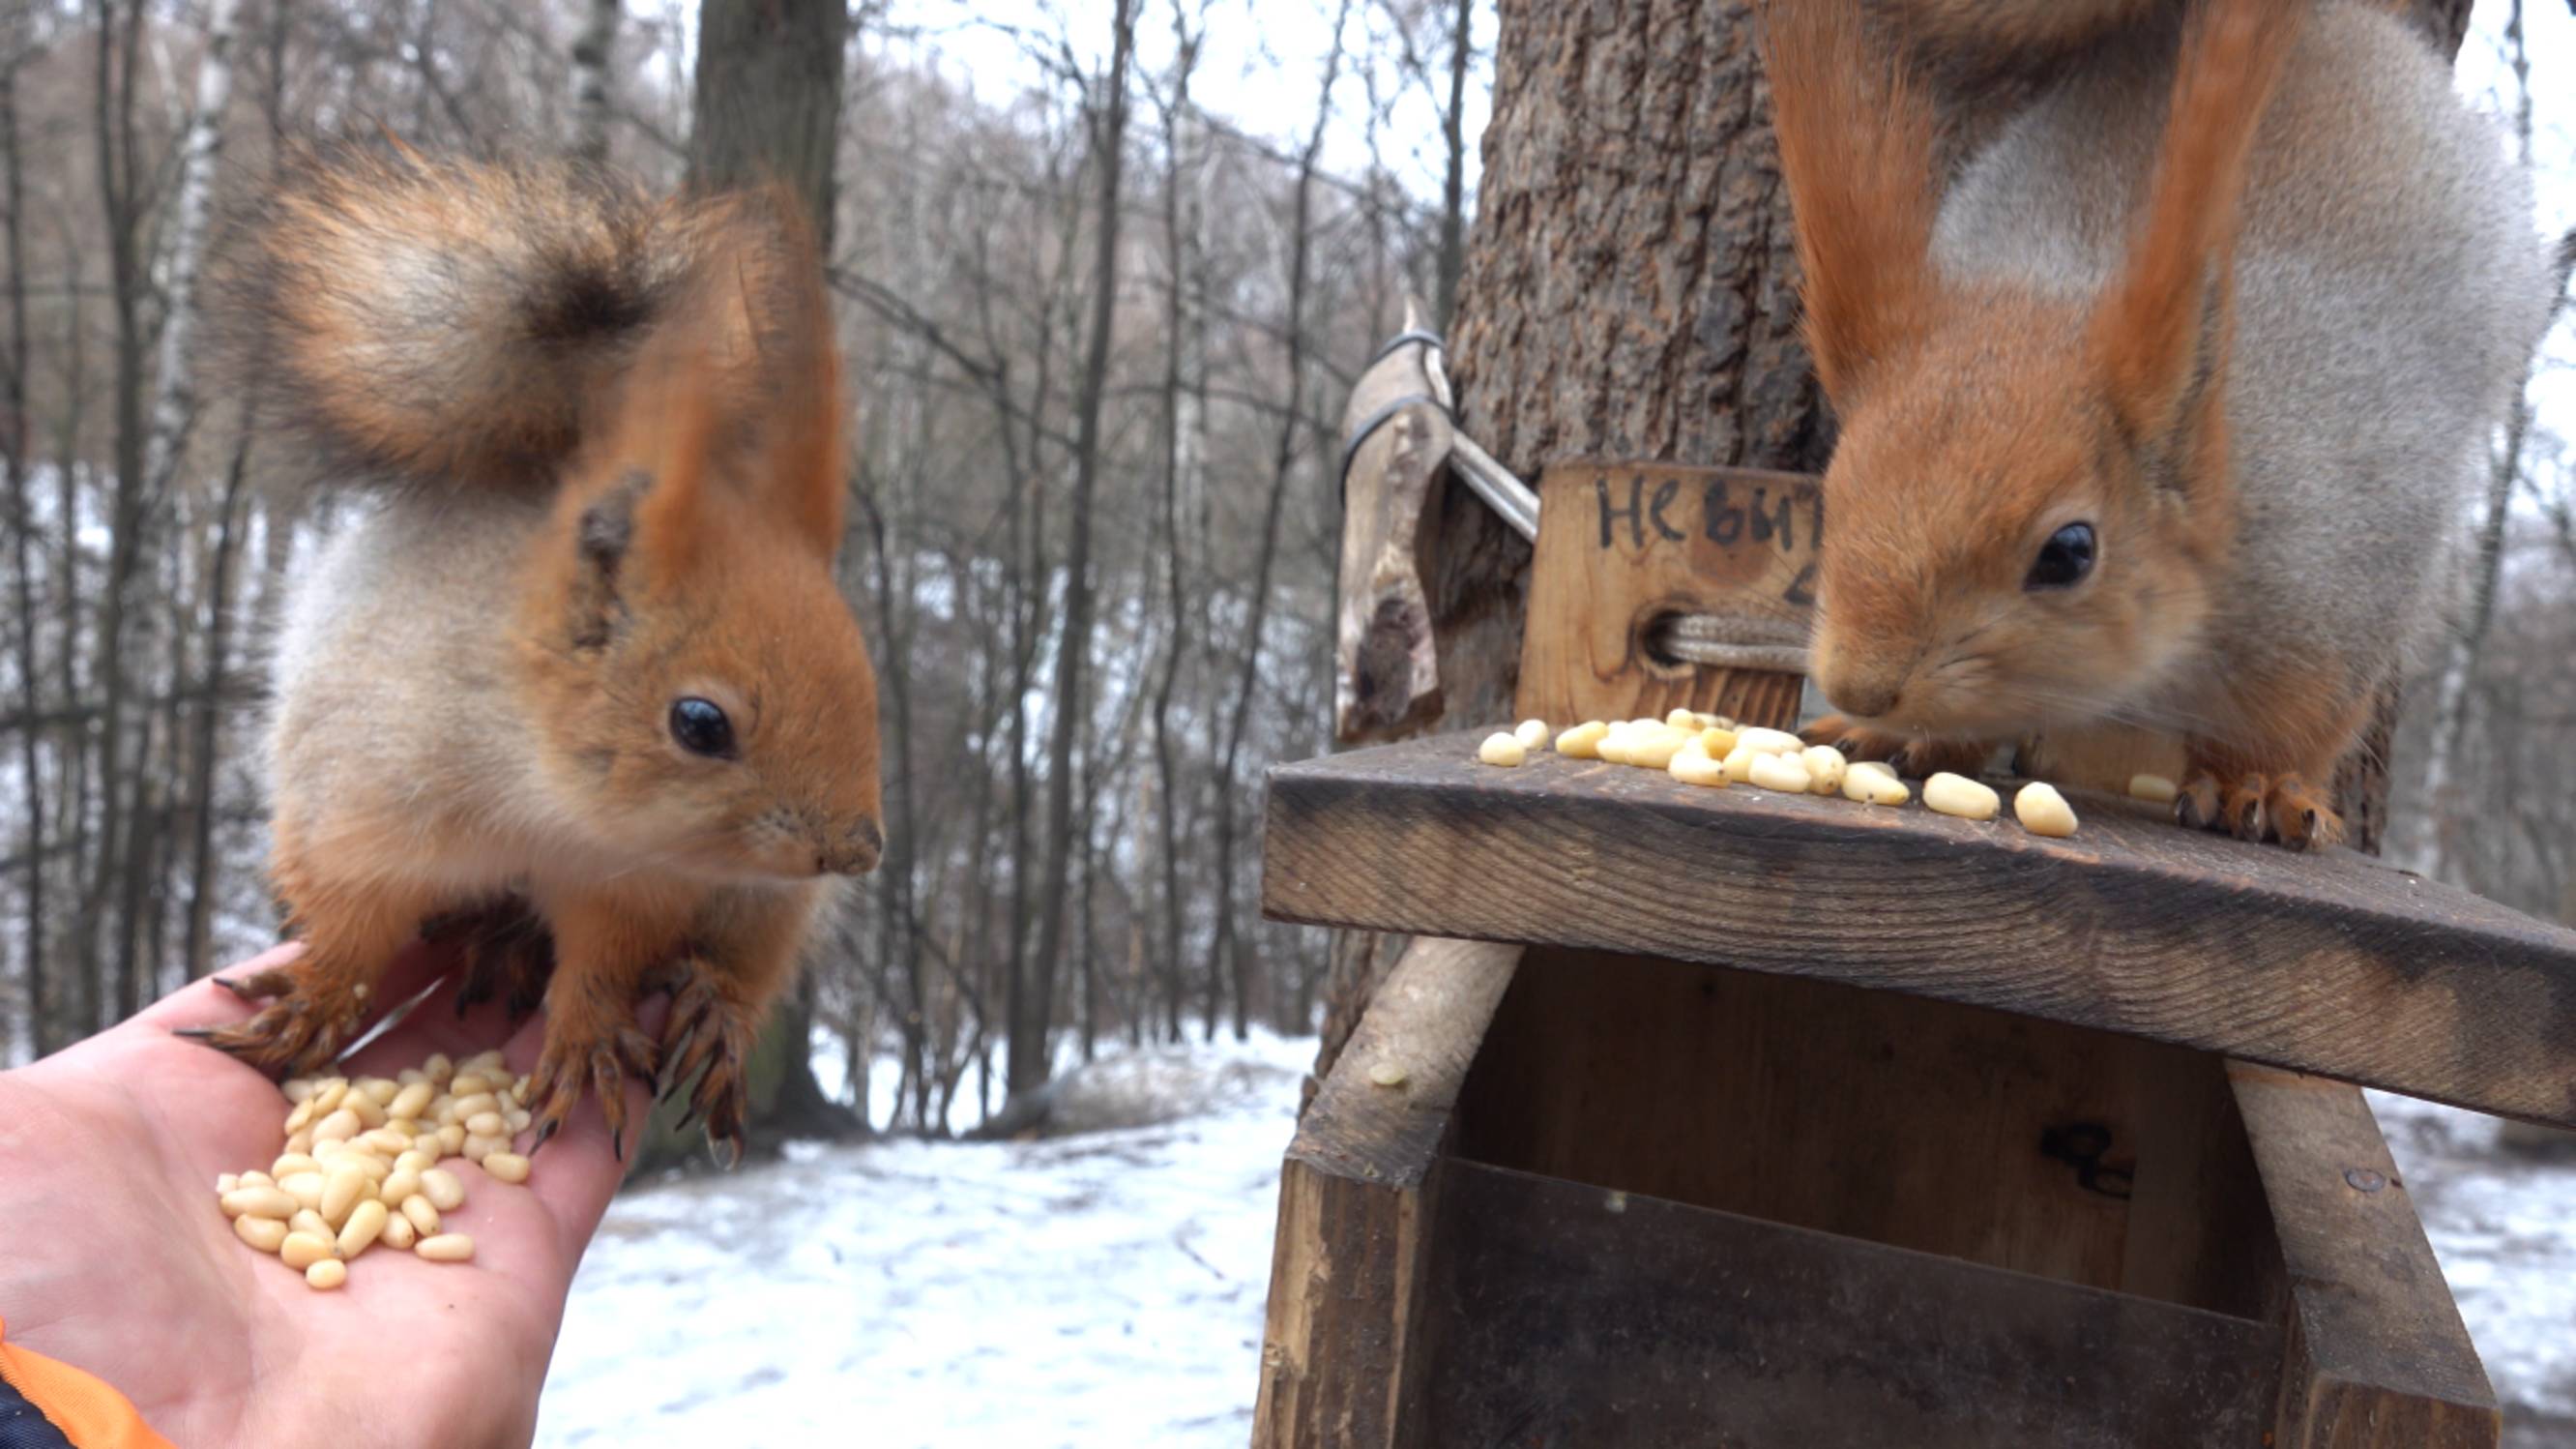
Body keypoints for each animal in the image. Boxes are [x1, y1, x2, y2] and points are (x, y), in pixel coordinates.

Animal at [184, 146, 886, 1155]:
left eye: (867, 680)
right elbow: (353, 925)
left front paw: (588, 1036)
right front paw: (312, 1007)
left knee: (748, 963)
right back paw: (500, 942)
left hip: (769, 897)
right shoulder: (359, 793)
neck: (541, 800)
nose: (859, 852)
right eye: (699, 723)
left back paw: (708, 1016)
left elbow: (604, 960)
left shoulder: (637, 885)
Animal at [1771, 0, 2555, 845]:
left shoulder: (2334, 588)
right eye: (1831, 504)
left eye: (2070, 553)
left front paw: (2262, 788)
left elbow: (2295, 725)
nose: (1861, 686)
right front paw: (1899, 738)